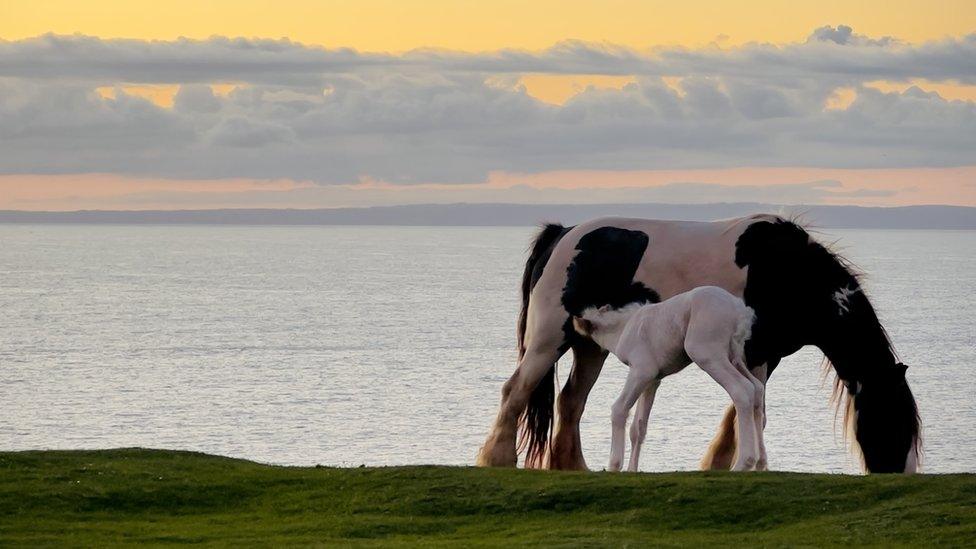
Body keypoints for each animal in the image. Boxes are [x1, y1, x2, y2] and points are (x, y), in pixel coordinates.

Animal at [572, 286, 772, 470]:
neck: (623, 329)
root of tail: (740, 311)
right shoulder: (653, 380)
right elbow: (638, 427)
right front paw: (632, 470)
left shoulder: (641, 370)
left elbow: (619, 409)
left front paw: (614, 466)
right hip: (735, 356)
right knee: (757, 389)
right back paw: (760, 463)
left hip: (706, 353)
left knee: (742, 390)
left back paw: (743, 463)